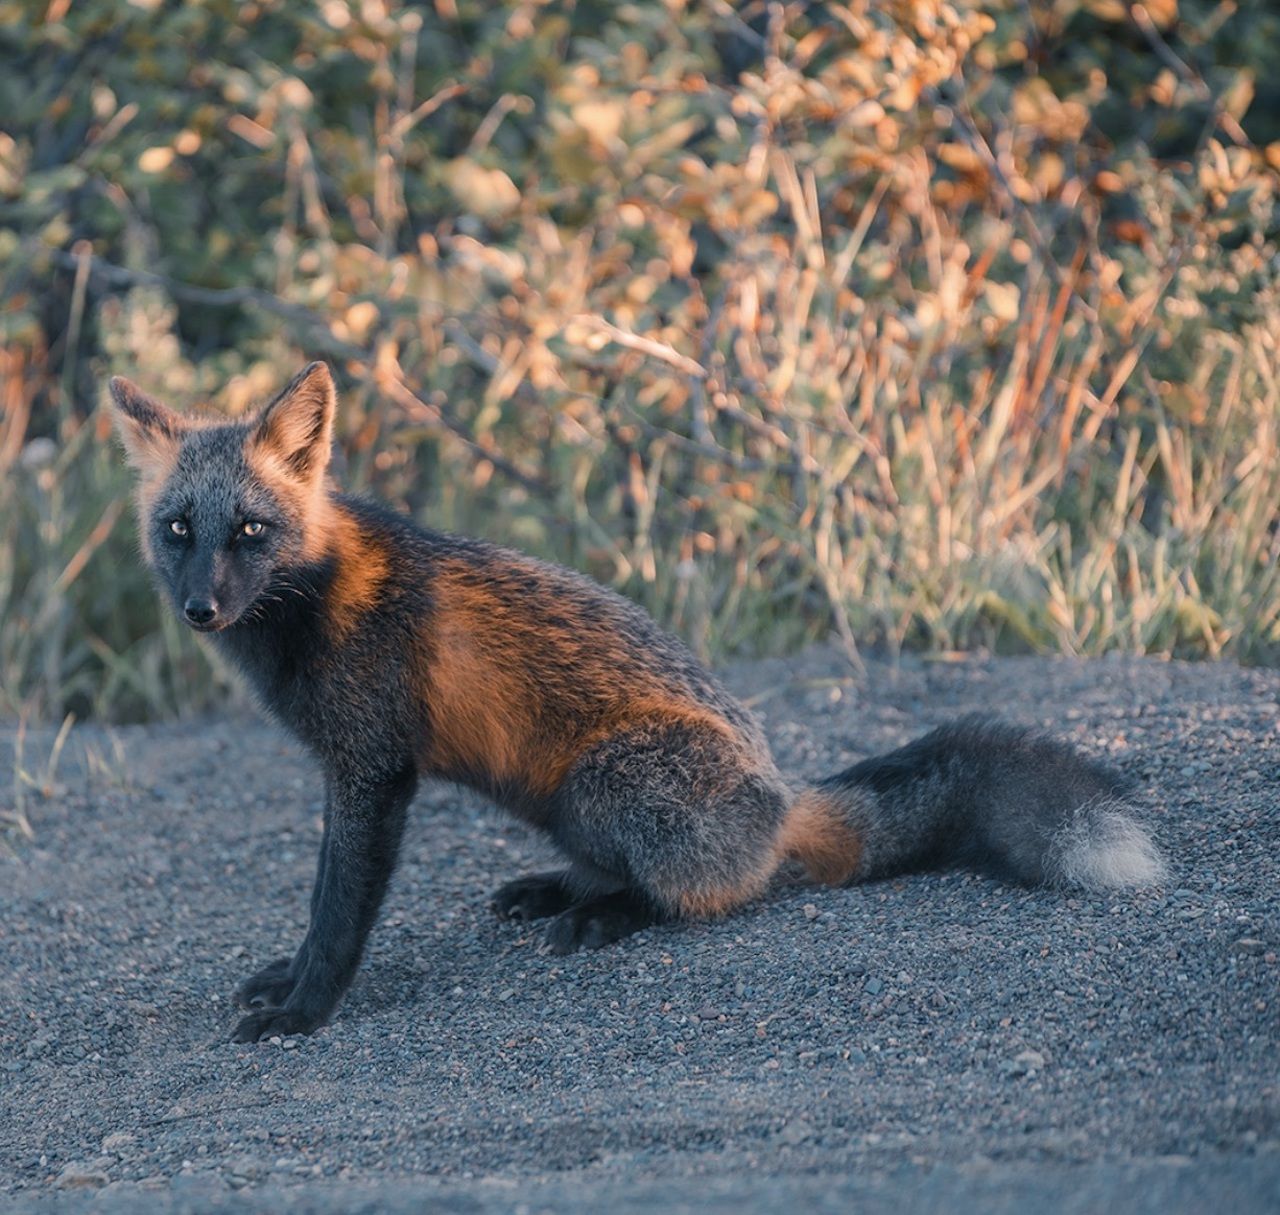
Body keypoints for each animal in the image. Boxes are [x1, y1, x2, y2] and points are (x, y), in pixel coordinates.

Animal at [110, 355, 1172, 1039]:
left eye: (250, 529)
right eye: (178, 528)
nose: (202, 607)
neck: (318, 600)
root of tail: (783, 799)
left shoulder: (373, 773)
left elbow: (336, 910)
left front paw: (305, 1009)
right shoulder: (356, 772)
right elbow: (319, 906)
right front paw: (290, 985)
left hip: (607, 779)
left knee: (708, 893)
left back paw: (609, 914)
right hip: (557, 796)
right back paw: (560, 890)